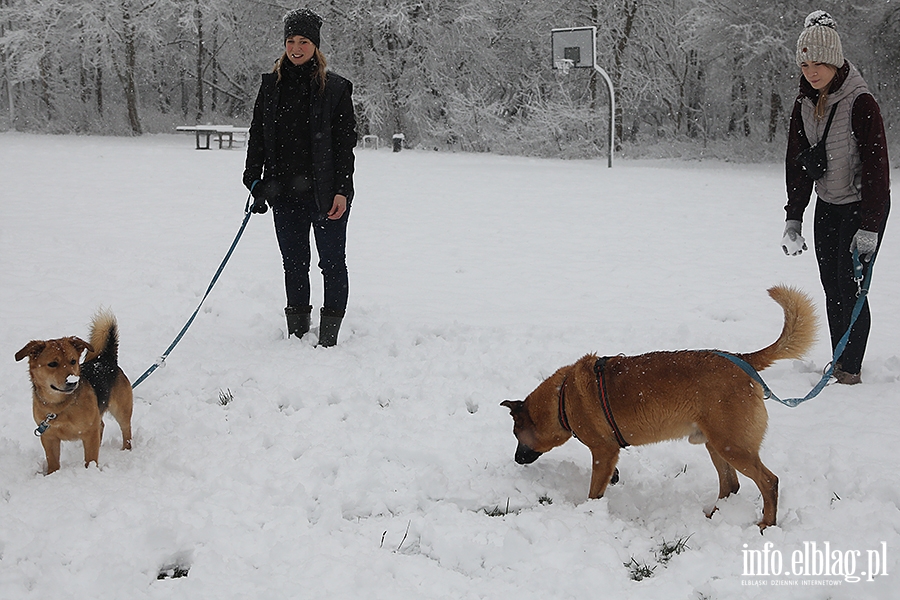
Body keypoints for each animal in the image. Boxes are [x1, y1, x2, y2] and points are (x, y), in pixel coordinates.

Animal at [15, 310, 133, 474]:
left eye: (73, 361)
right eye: (52, 364)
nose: (72, 381)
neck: (60, 405)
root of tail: (106, 359)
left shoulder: (89, 432)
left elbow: (90, 458)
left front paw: (90, 472)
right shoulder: (49, 437)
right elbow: (52, 461)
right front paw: (52, 475)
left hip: (122, 410)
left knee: (126, 430)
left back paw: (126, 449)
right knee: (102, 425)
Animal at [502, 286, 820, 528]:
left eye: (518, 436)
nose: (516, 460)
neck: (563, 398)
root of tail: (741, 359)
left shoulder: (603, 451)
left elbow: (594, 492)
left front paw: (588, 513)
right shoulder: (608, 455)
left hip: (733, 445)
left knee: (769, 481)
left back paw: (766, 524)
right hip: (716, 444)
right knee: (731, 485)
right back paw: (715, 515)